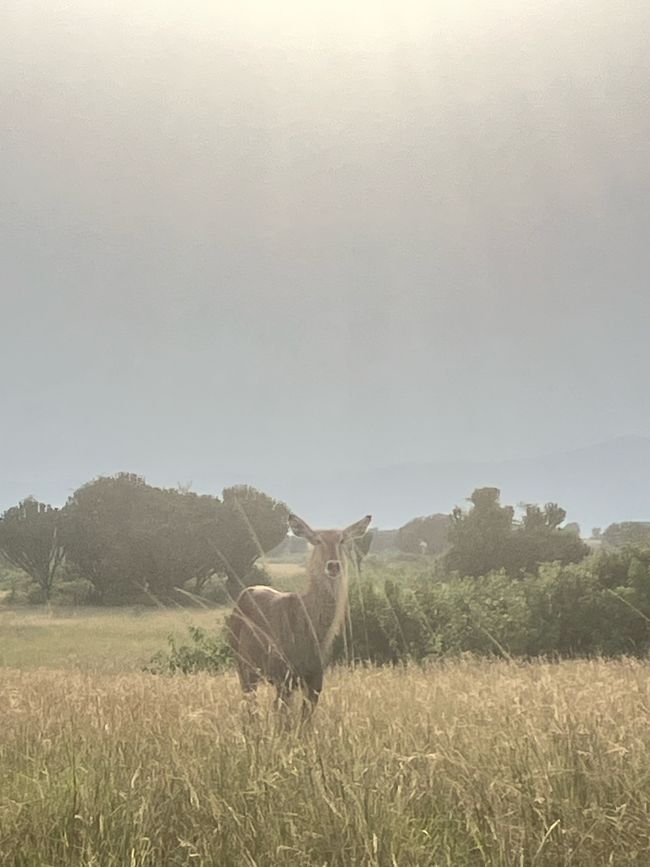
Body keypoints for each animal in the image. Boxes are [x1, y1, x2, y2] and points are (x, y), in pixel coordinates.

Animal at [227, 512, 372, 720]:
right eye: (317, 540)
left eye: (342, 540)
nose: (333, 566)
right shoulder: (283, 679)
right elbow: (284, 720)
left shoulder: (315, 682)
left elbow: (305, 721)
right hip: (244, 667)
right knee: (250, 705)